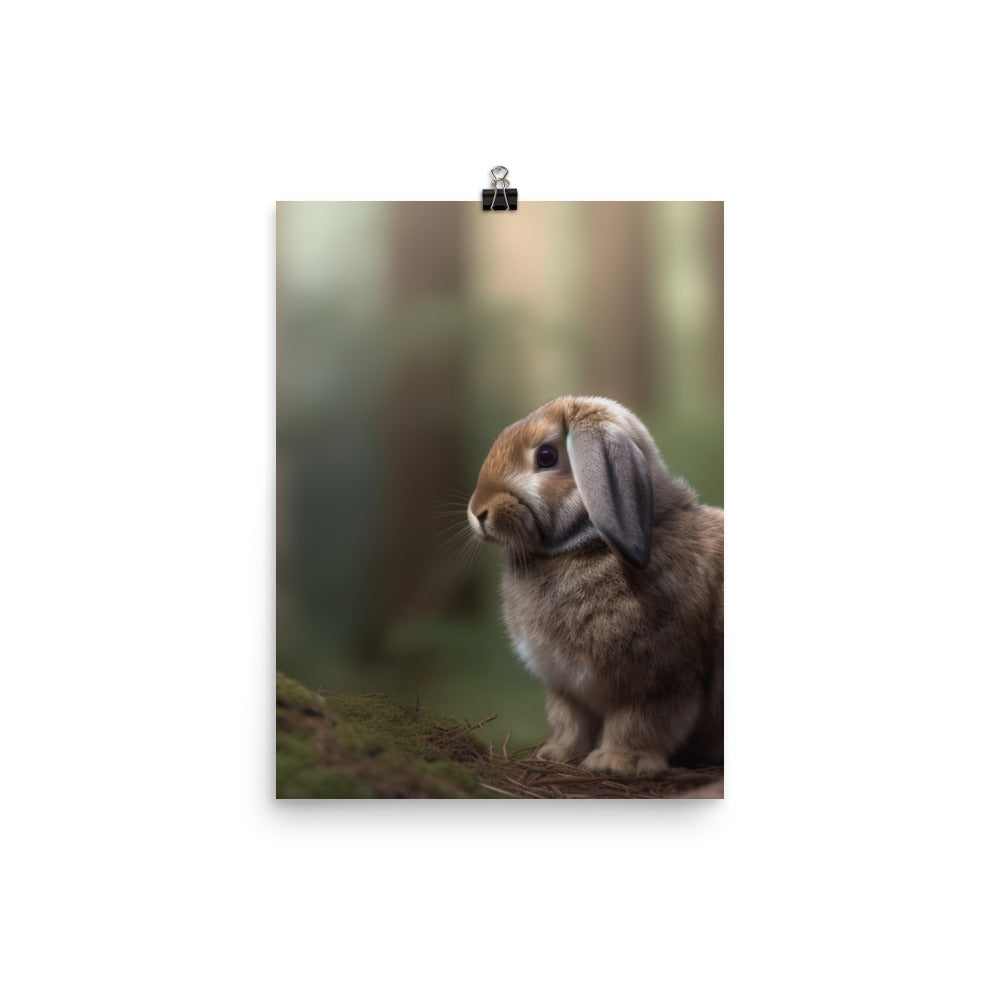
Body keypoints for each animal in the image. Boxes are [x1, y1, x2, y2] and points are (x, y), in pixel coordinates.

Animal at [467, 396, 723, 777]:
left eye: (546, 456)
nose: (478, 512)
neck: (584, 544)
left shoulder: (659, 682)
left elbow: (638, 722)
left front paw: (616, 762)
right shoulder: (564, 687)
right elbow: (569, 722)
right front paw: (556, 754)